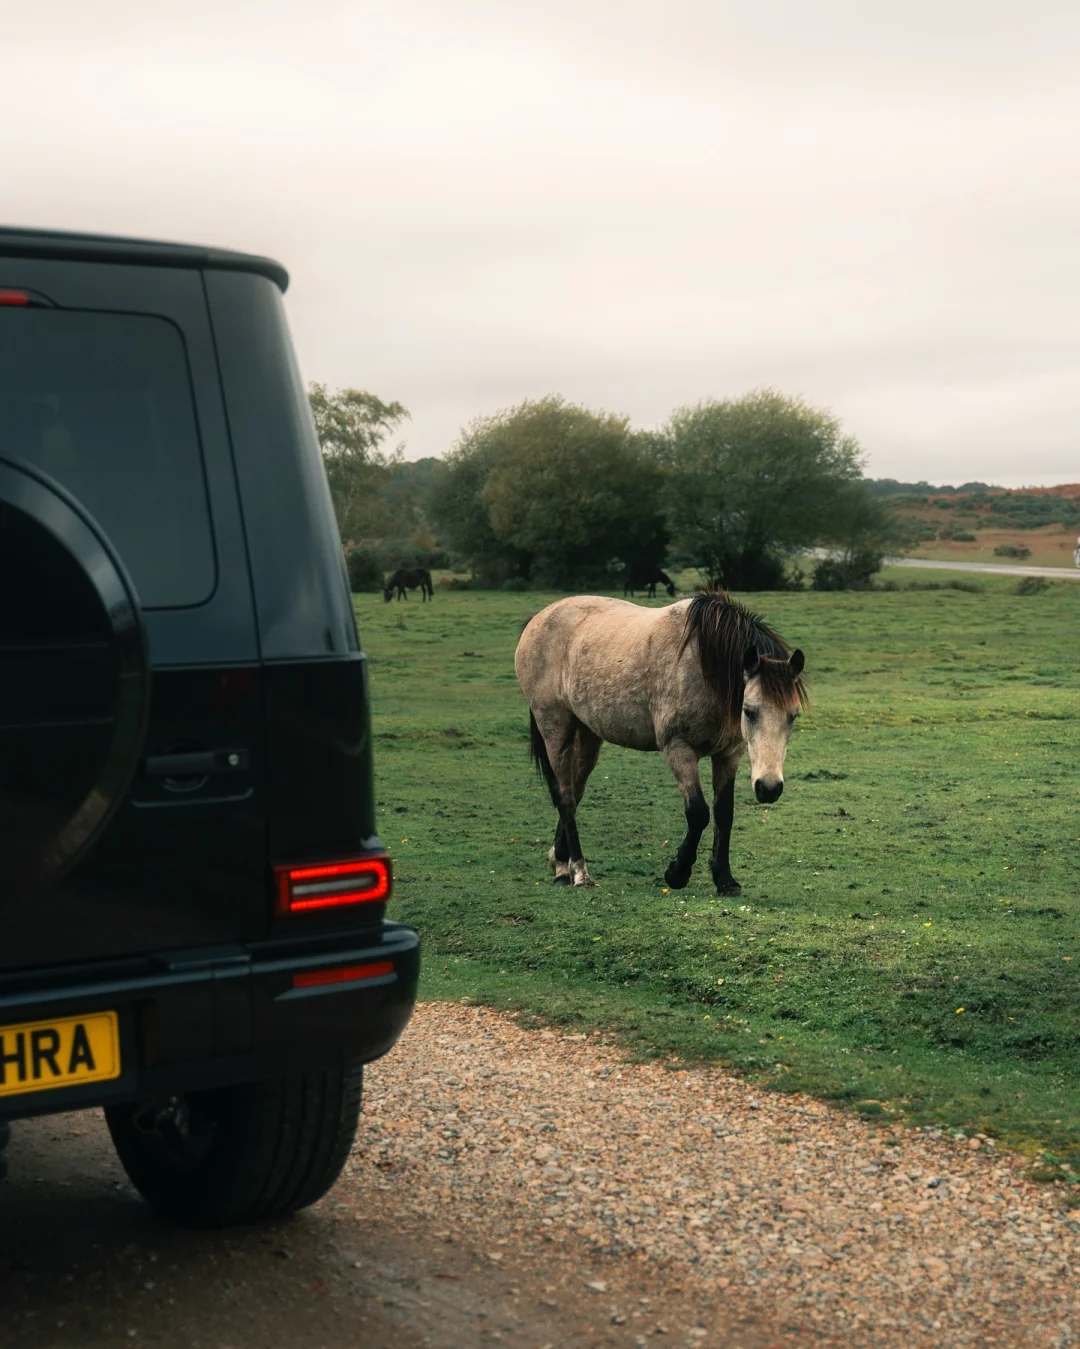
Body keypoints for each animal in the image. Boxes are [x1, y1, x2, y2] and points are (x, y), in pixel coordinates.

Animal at [512, 590, 798, 895]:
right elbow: (698, 813)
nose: (769, 788)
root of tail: (538, 619)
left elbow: (724, 813)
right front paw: (677, 873)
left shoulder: (729, 753)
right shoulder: (678, 749)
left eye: (793, 715)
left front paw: (725, 880)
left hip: (588, 734)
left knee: (574, 793)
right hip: (555, 729)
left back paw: (560, 862)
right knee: (565, 797)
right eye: (749, 711)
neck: (704, 664)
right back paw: (578, 871)